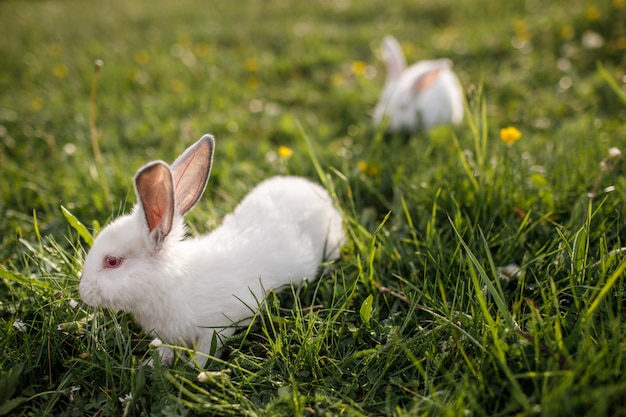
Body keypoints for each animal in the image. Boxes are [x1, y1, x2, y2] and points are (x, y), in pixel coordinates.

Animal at [78, 134, 344, 364]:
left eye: (112, 261)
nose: (83, 292)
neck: (171, 282)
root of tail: (319, 194)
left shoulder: (218, 325)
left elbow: (207, 349)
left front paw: (194, 368)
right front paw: (153, 364)